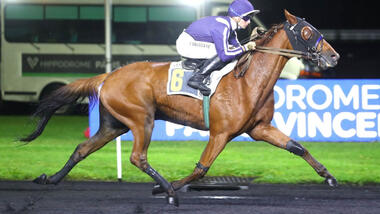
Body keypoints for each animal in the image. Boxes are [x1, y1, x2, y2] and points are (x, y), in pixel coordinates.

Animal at [22, 10, 340, 206]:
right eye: (308, 32)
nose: (334, 56)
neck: (248, 78)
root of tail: (108, 76)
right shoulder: (221, 133)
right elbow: (202, 168)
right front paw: (172, 186)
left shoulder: (259, 128)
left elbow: (297, 147)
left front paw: (328, 175)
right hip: (142, 119)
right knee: (138, 158)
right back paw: (168, 190)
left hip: (115, 124)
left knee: (82, 148)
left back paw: (50, 179)